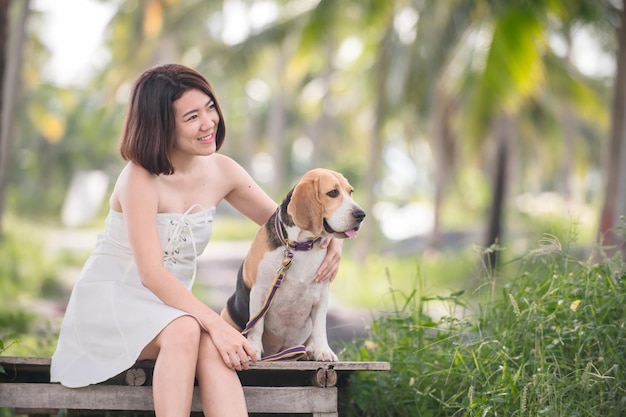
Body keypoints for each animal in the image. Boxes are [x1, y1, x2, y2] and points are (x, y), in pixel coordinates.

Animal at [222, 167, 364, 360]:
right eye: (333, 193)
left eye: (350, 192)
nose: (361, 215)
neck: (301, 247)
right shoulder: (259, 291)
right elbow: (257, 326)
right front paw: (254, 350)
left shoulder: (322, 295)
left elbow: (320, 327)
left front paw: (323, 351)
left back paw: (309, 351)